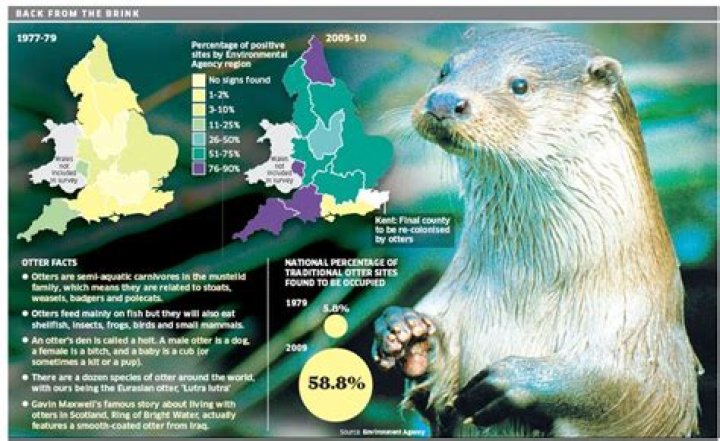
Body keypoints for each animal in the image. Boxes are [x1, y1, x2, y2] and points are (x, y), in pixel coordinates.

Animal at [372, 28, 701, 437]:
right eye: (445, 70)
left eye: (520, 85)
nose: (445, 100)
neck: (528, 290)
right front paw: (407, 334)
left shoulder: (645, 344)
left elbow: (638, 394)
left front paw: (520, 379)